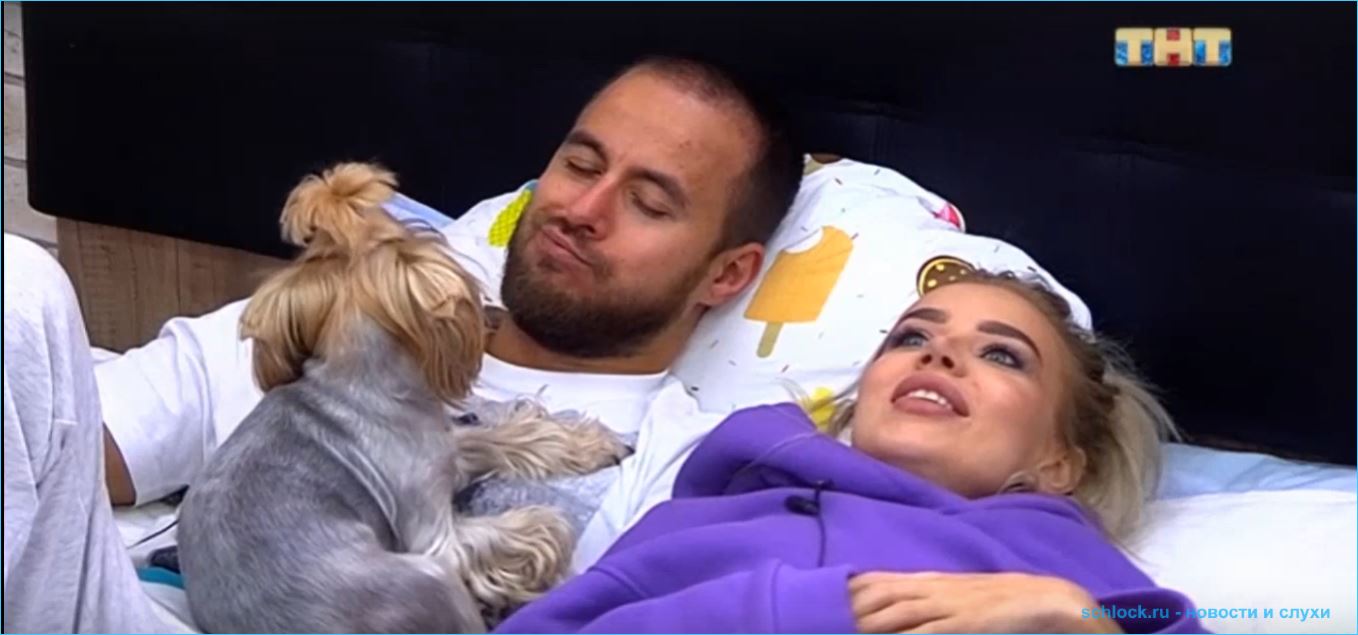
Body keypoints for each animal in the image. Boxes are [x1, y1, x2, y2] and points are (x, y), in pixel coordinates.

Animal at [176, 163, 630, 633]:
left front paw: (592, 444)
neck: (358, 376)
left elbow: (503, 436)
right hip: (427, 579)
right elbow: (539, 524)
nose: (494, 314)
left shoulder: (443, 450)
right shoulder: (437, 538)